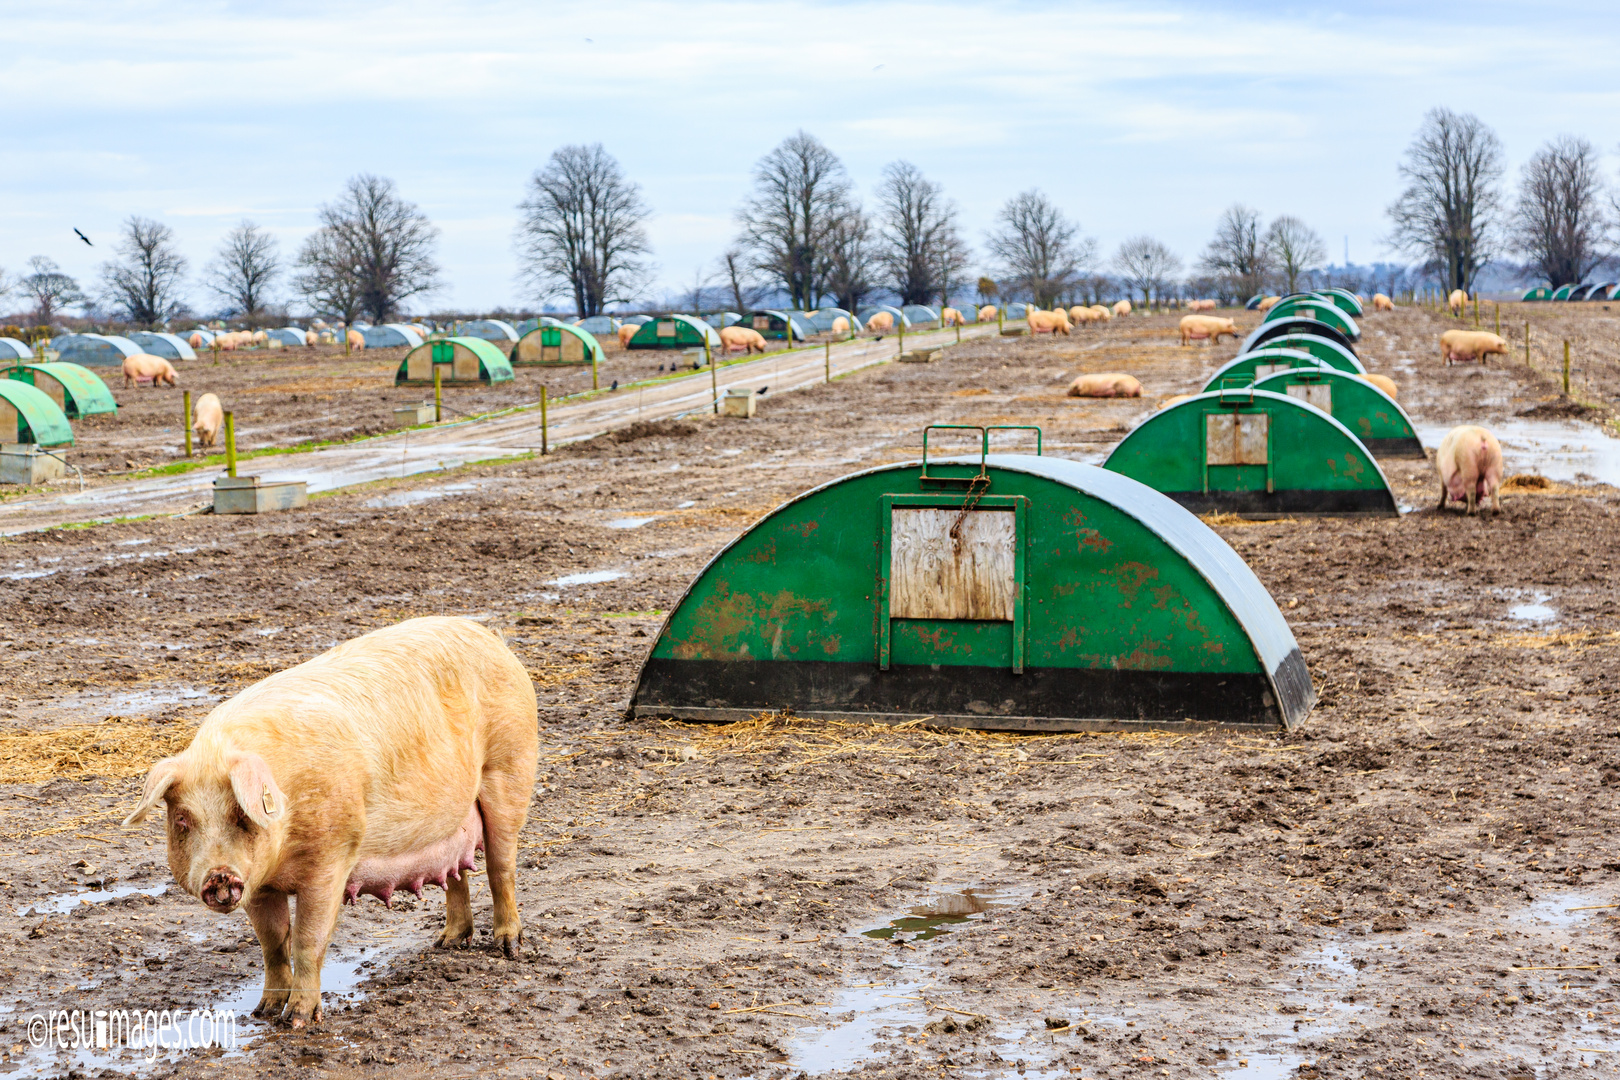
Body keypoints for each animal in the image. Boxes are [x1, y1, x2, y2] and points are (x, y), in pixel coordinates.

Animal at [123, 615, 537, 1029]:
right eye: (182, 819)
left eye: (240, 813)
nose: (219, 875)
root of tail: (490, 636)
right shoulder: (259, 883)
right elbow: (273, 942)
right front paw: (263, 1012)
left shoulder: (332, 858)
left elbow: (309, 940)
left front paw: (297, 1020)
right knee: (457, 872)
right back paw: (447, 941)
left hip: (510, 768)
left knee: (501, 867)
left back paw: (508, 948)